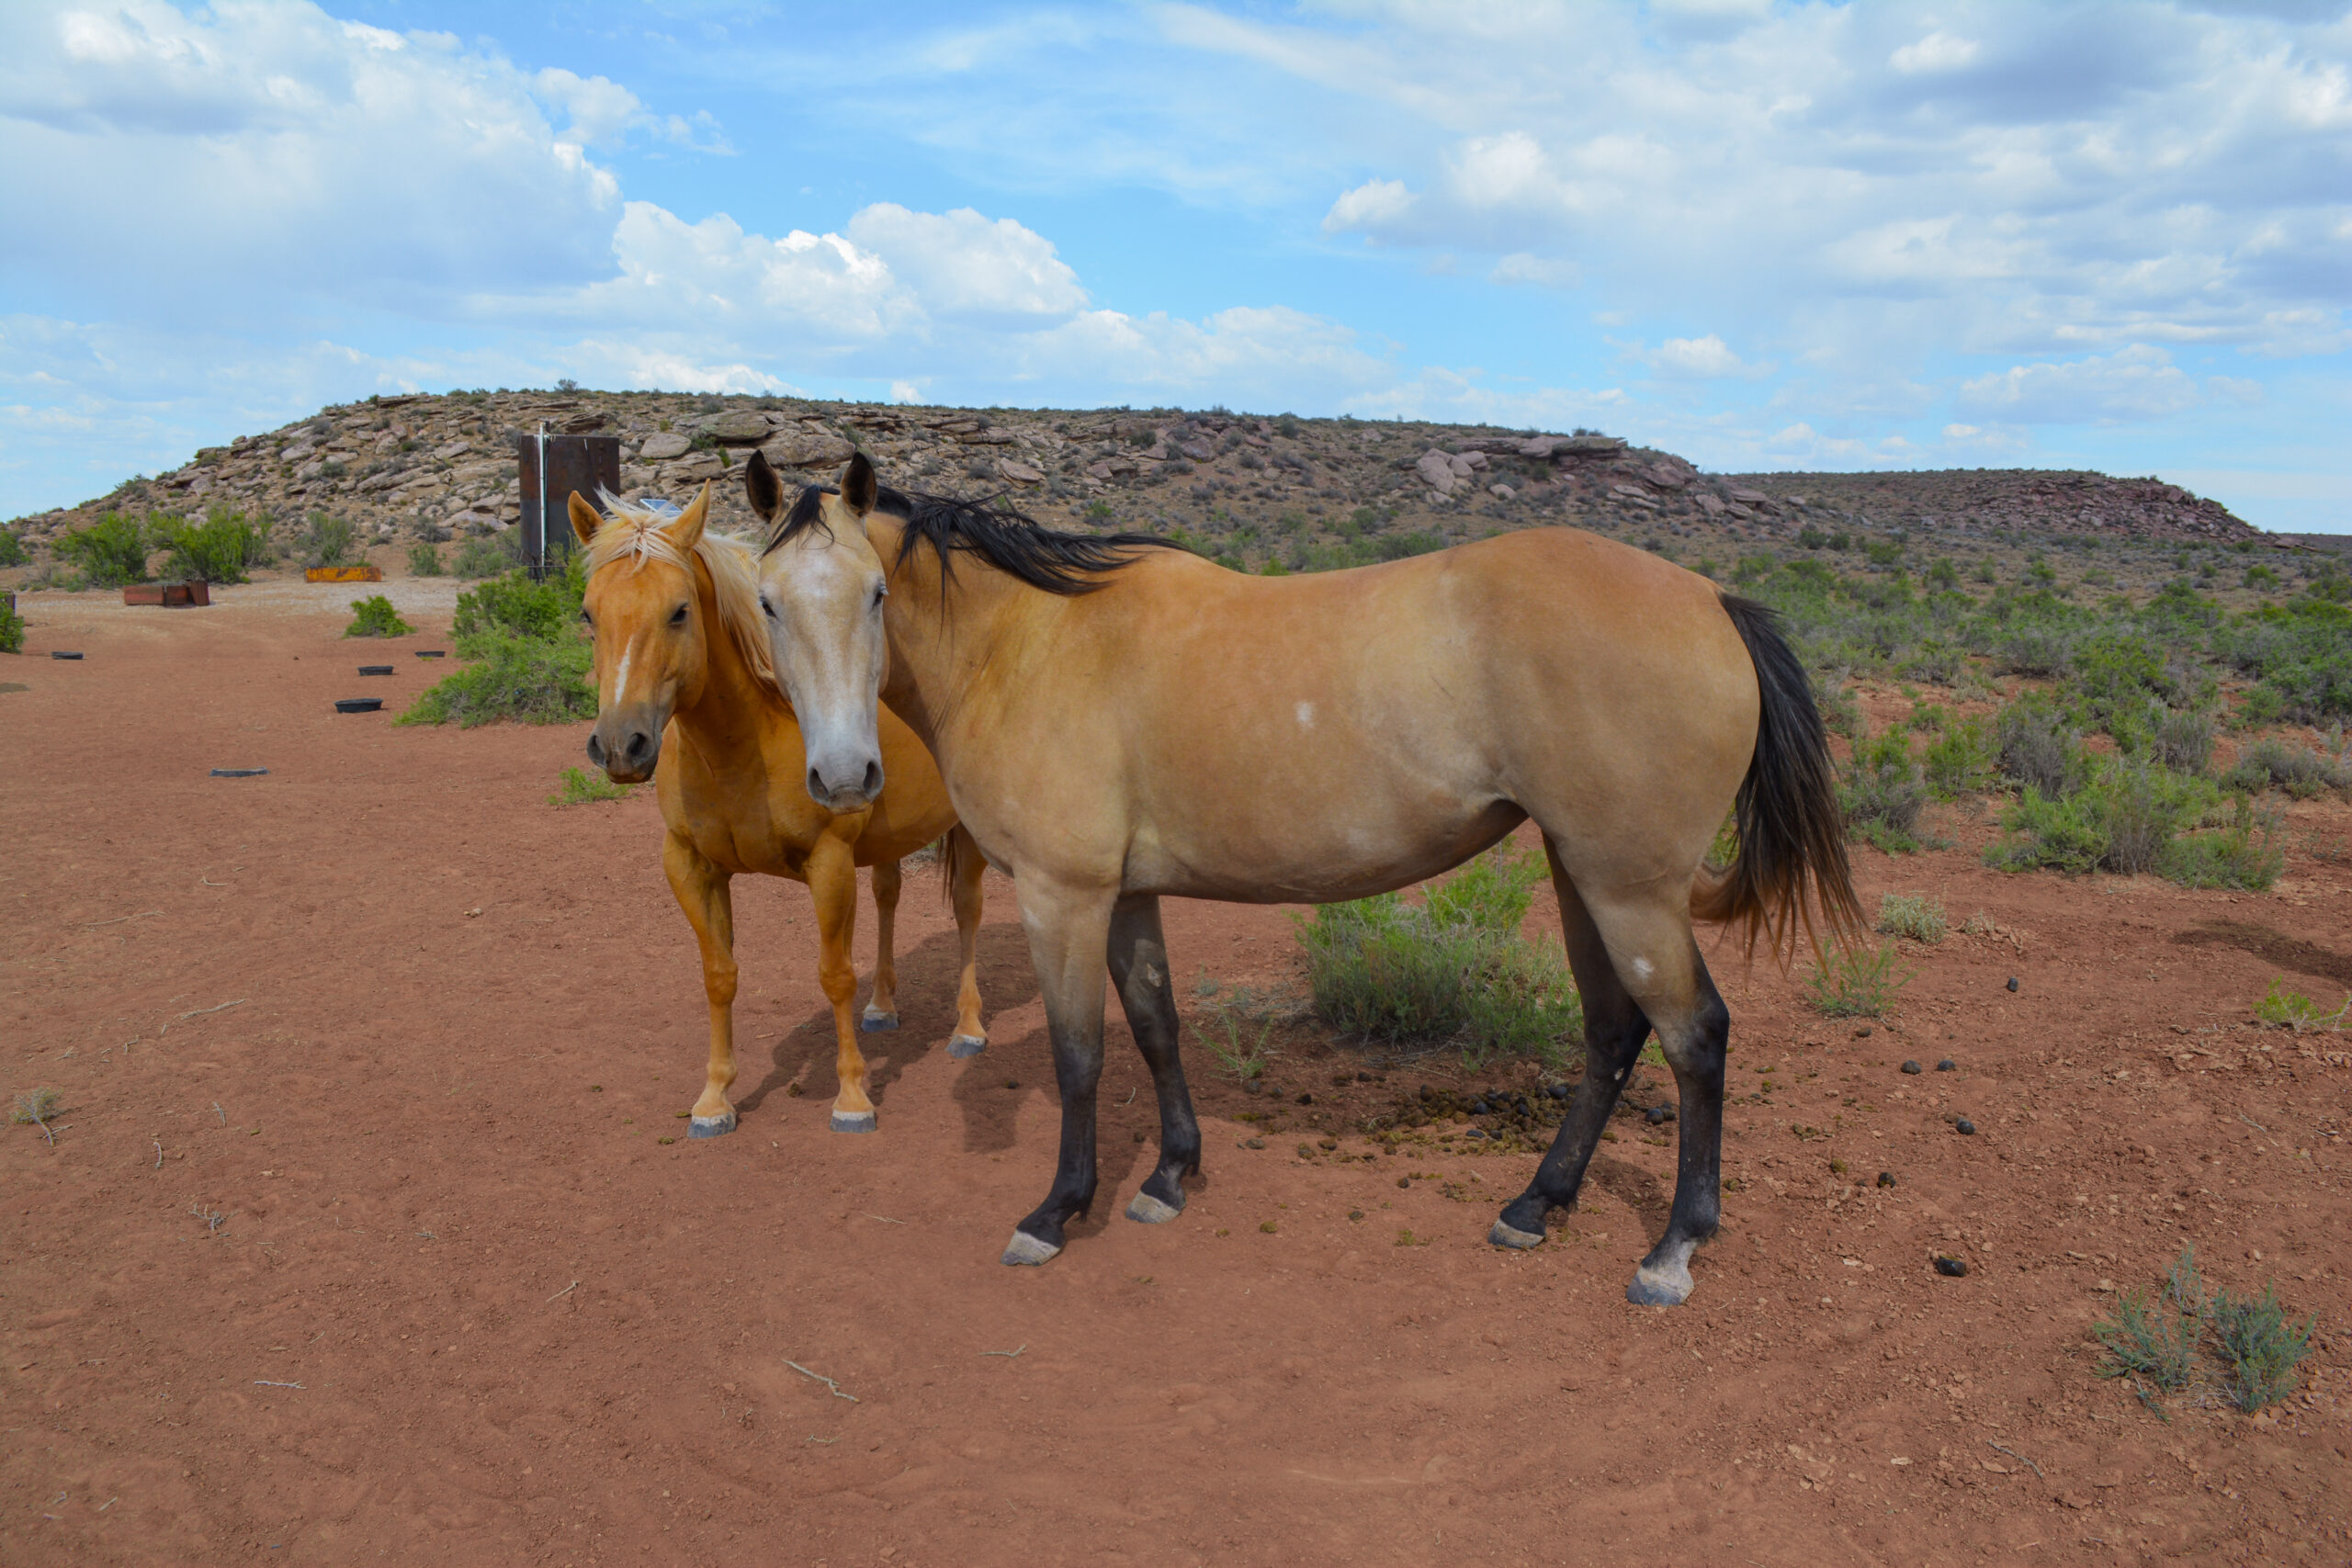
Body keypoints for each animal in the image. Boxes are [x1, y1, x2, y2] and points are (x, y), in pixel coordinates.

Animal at [567, 482, 989, 1138]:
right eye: (589, 614)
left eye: (679, 611)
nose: (620, 746)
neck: (747, 741)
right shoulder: (690, 867)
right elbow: (719, 976)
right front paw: (714, 1099)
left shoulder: (829, 864)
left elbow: (835, 976)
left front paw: (852, 1097)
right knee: (889, 896)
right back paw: (882, 1007)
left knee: (968, 910)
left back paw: (968, 1028)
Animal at [745, 450, 1858, 1306]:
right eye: (765, 602)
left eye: (876, 595)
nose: (843, 776)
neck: (1030, 642)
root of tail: (1712, 598)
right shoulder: (1127, 895)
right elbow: (1156, 1027)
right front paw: (1169, 1176)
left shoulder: (1063, 896)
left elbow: (1080, 1057)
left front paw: (1058, 1211)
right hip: (1580, 871)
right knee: (1613, 1032)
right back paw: (1536, 1204)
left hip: (1630, 888)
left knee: (1695, 1036)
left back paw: (1672, 1249)